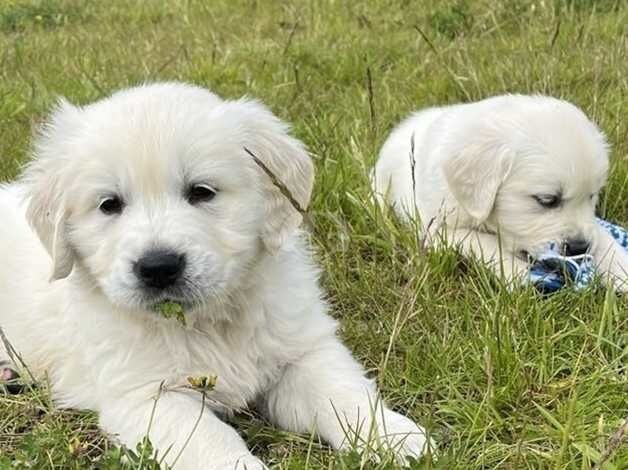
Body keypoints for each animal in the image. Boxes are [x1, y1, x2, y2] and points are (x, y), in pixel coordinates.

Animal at [0, 82, 430, 468]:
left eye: (202, 192)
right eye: (109, 204)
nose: (158, 267)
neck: (206, 322)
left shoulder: (303, 351)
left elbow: (344, 393)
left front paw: (394, 437)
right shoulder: (148, 396)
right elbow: (210, 440)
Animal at [372, 94, 628, 292]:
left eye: (592, 196)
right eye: (547, 200)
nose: (579, 248)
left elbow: (600, 234)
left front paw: (619, 267)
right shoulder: (437, 229)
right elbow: (483, 242)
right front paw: (521, 274)